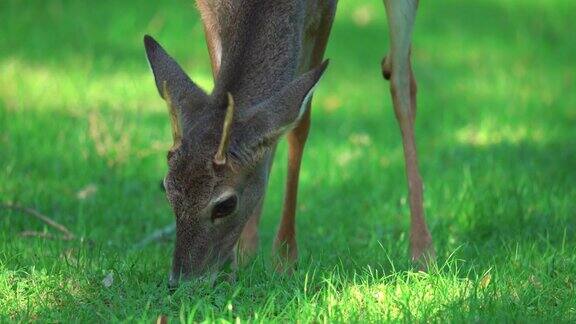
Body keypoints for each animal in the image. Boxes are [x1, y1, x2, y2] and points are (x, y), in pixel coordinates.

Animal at [144, 0, 432, 286]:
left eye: (226, 204)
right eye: (166, 188)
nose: (180, 282)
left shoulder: (323, 12)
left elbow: (299, 122)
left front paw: (284, 259)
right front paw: (238, 260)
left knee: (403, 84)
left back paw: (422, 251)